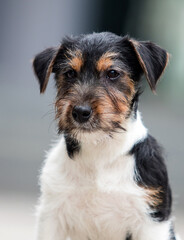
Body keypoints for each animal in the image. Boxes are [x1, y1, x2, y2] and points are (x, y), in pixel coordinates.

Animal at [32, 32, 178, 240]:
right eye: (70, 73)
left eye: (113, 73)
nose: (81, 112)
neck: (99, 149)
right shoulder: (51, 216)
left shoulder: (152, 222)